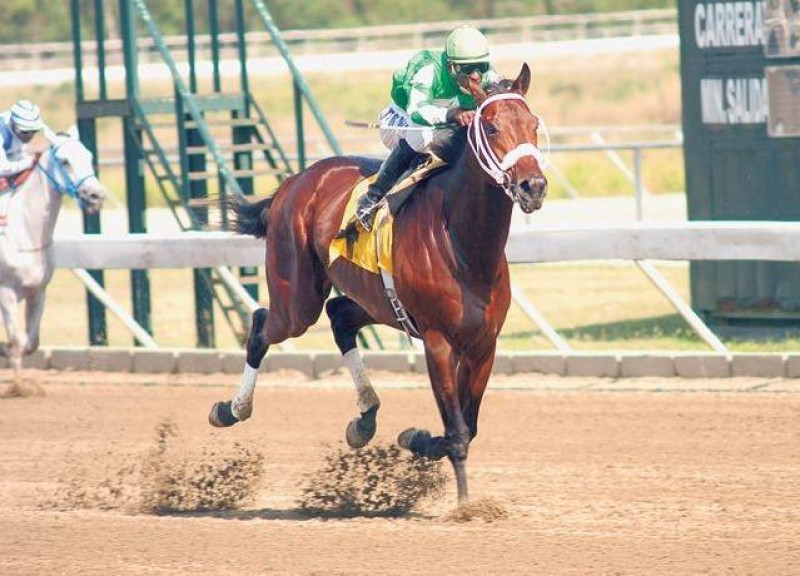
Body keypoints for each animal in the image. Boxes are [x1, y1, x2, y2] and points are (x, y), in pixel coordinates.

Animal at [0, 127, 106, 374]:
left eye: (89, 156)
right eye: (65, 161)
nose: (97, 196)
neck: (23, 231)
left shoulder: (38, 291)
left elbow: (30, 343)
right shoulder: (6, 292)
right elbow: (17, 344)